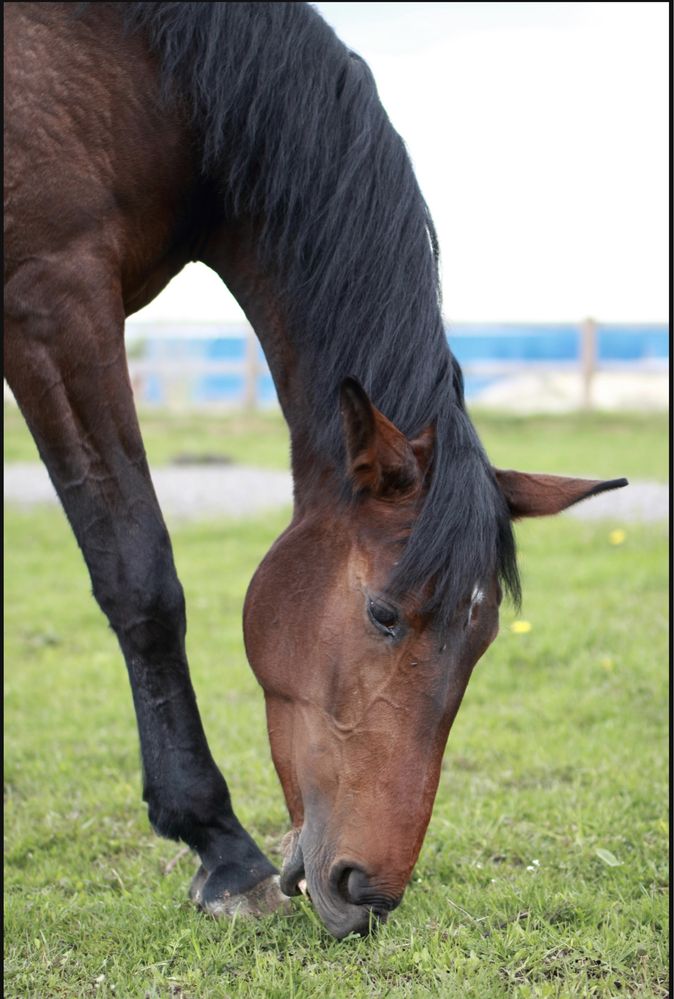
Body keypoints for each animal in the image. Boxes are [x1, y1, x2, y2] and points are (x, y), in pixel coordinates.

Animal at [3, 0, 624, 940]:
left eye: (483, 638)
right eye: (383, 614)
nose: (369, 889)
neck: (152, 64)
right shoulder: (53, 300)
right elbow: (140, 577)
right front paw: (220, 847)